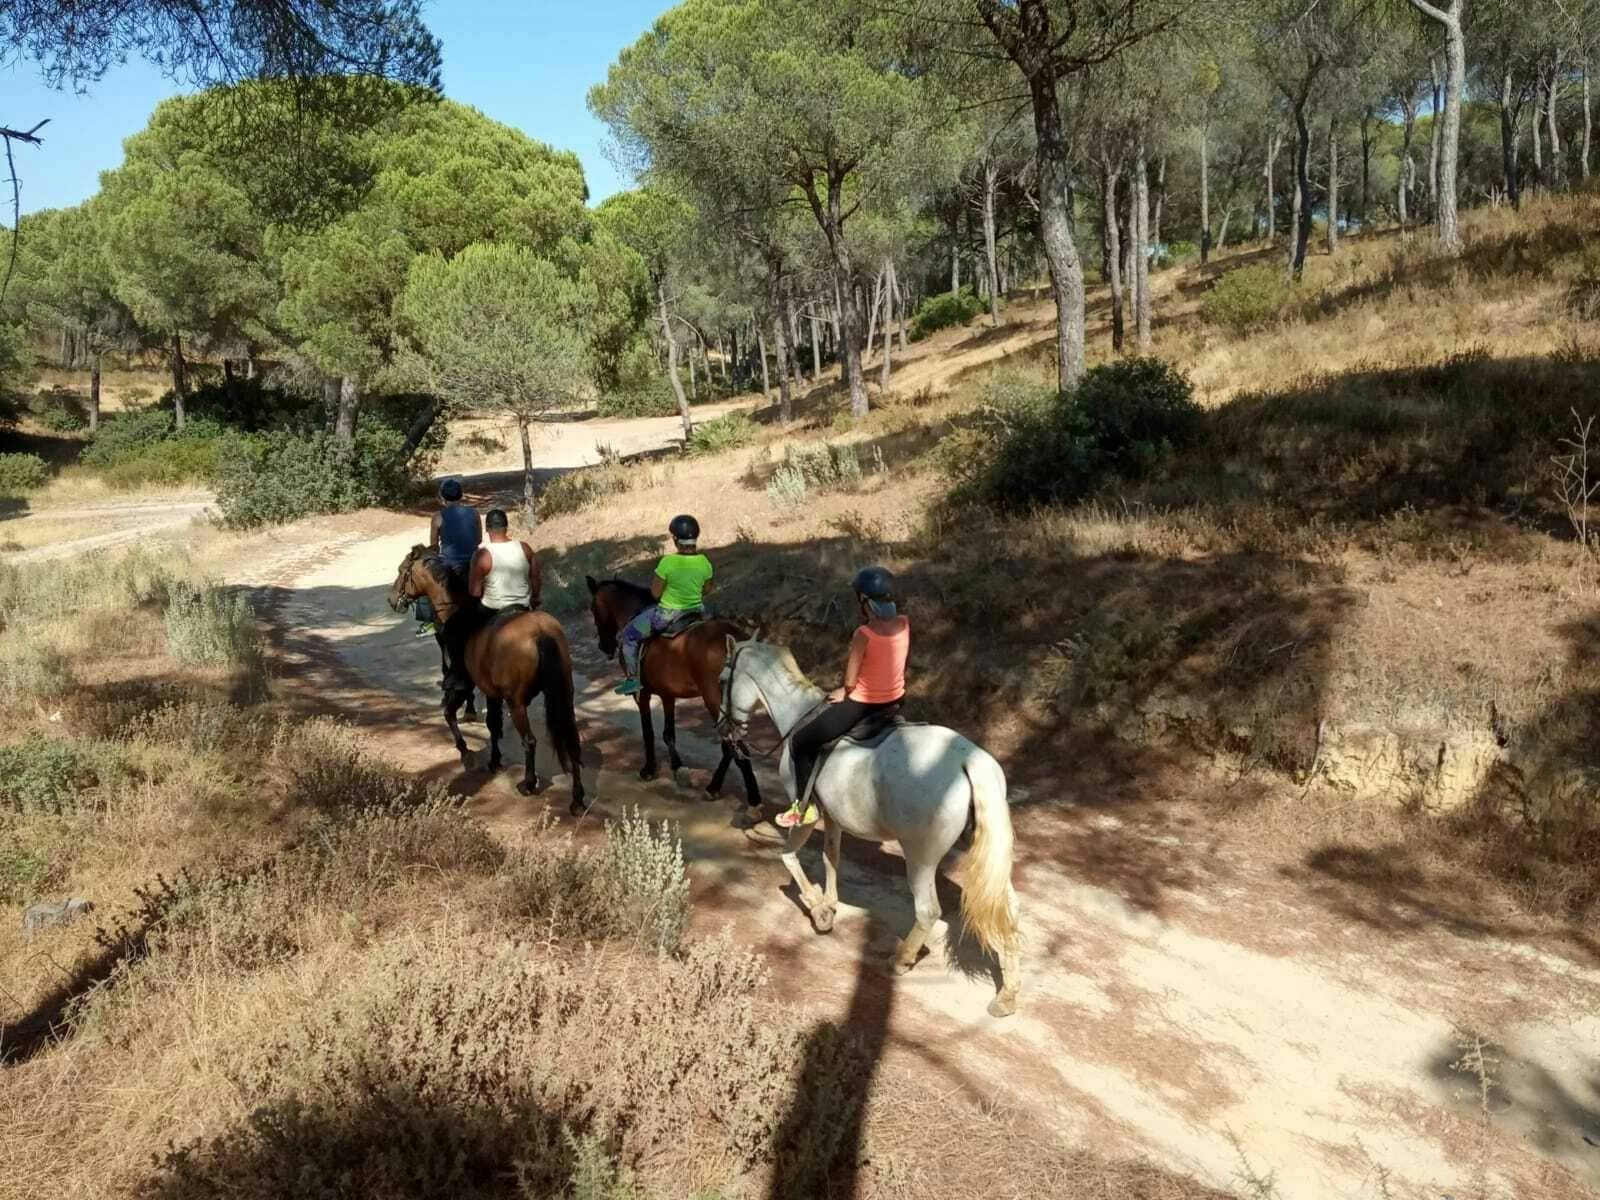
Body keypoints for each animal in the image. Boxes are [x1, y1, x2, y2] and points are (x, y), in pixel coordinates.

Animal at [389, 545, 587, 815]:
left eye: (402, 571)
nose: (391, 600)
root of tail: (540, 632)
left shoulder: (466, 686)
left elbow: (450, 714)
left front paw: (466, 753)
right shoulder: (492, 692)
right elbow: (494, 725)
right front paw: (494, 761)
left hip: (516, 703)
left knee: (530, 741)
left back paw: (528, 784)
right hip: (563, 693)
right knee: (571, 741)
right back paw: (577, 799)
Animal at [584, 575, 761, 807]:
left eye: (593, 608)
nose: (603, 647)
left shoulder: (642, 694)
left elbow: (648, 732)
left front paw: (649, 769)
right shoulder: (667, 694)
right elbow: (668, 733)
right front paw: (677, 767)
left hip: (714, 700)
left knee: (732, 744)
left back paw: (752, 798)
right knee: (731, 745)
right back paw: (714, 787)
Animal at [717, 637, 1021, 1017]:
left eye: (721, 679)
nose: (723, 729)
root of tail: (970, 760)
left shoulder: (806, 812)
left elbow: (788, 857)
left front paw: (819, 910)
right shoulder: (833, 817)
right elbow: (832, 855)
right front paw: (830, 903)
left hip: (920, 858)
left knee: (928, 911)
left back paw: (902, 959)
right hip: (984, 853)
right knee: (1009, 909)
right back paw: (1007, 995)